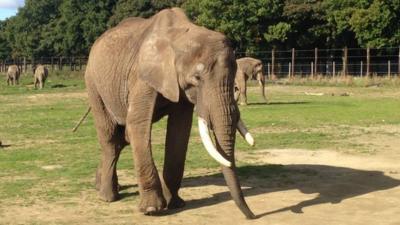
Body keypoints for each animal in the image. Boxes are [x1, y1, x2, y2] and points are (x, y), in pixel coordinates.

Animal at [85, 7, 256, 219]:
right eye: (197, 78)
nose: (252, 216)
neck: (181, 36)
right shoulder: (142, 76)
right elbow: (137, 127)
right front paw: (152, 210)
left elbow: (179, 131)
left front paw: (176, 204)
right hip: (93, 83)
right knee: (110, 137)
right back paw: (108, 197)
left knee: (119, 140)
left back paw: (101, 186)